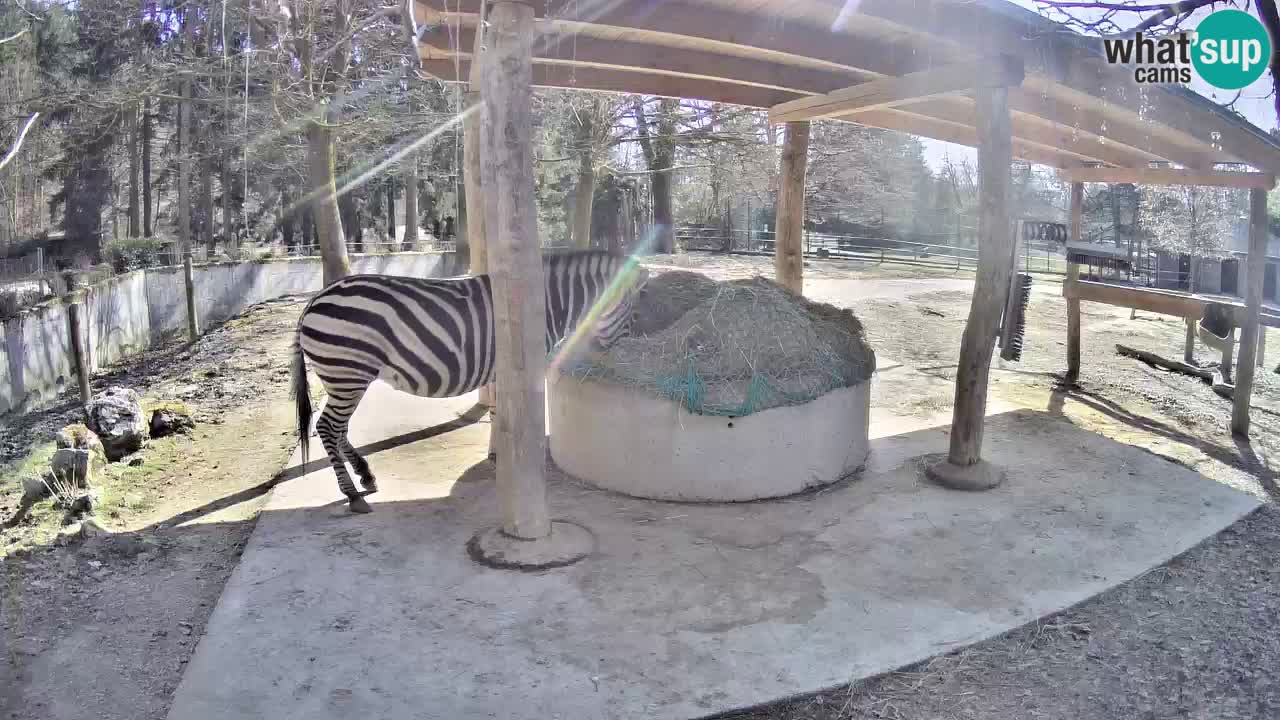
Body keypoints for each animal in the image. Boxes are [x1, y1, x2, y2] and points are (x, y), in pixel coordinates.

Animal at [291, 249, 650, 512]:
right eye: (634, 313)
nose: (614, 355)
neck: (542, 306)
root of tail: (314, 299)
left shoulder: (499, 370)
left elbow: (497, 412)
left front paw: (497, 456)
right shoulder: (515, 367)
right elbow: (507, 415)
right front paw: (507, 460)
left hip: (346, 378)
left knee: (339, 429)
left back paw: (366, 476)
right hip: (347, 372)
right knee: (328, 428)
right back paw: (352, 494)